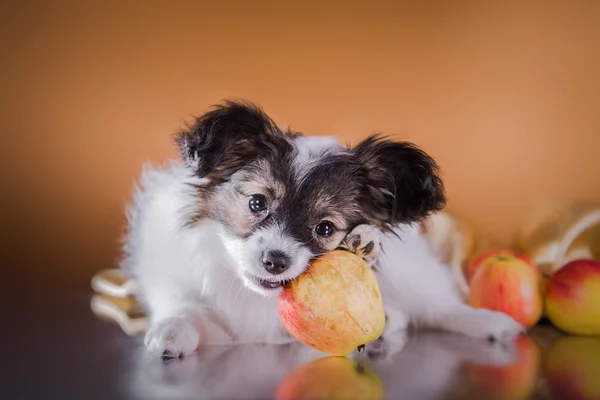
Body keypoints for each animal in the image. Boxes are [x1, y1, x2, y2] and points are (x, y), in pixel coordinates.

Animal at [119, 101, 524, 360]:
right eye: (256, 203)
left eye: (325, 228)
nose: (275, 261)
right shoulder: (168, 272)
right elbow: (181, 303)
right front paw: (174, 328)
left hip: (412, 277)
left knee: (437, 307)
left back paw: (488, 322)